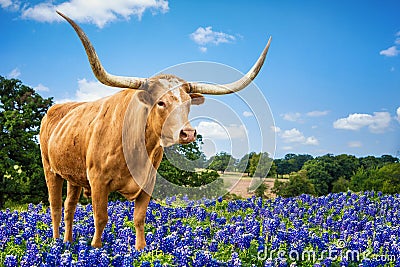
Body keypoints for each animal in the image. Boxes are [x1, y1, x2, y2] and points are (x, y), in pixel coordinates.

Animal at [39, 11, 272, 251]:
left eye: (188, 102)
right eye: (160, 102)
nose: (188, 133)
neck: (136, 145)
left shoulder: (148, 183)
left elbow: (139, 218)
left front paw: (140, 250)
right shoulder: (98, 182)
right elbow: (101, 218)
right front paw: (96, 247)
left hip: (73, 177)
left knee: (69, 207)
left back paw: (68, 242)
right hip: (50, 170)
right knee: (56, 207)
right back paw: (56, 242)